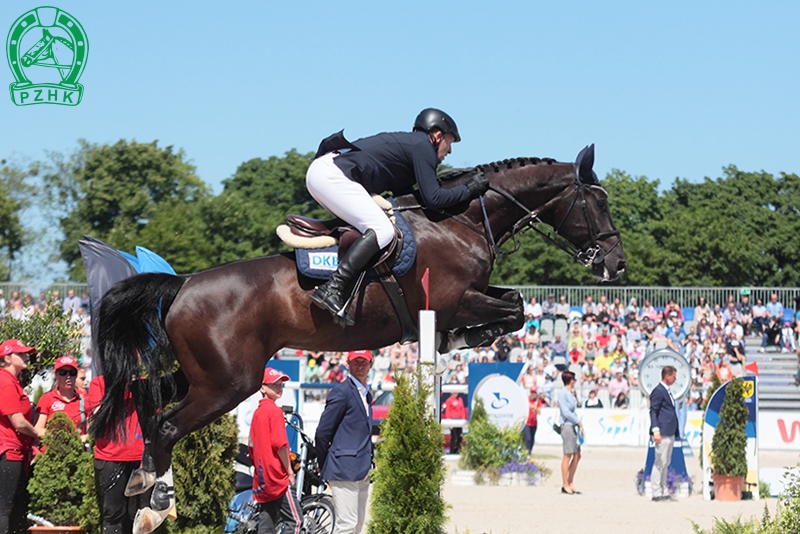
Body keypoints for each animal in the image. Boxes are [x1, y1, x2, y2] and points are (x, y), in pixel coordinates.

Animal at [87, 144, 624, 532]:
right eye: (598, 202)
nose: (615, 265)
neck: (463, 220)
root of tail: (182, 284)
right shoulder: (457, 299)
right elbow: (514, 309)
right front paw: (459, 339)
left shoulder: (471, 296)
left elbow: (514, 303)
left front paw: (457, 341)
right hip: (228, 384)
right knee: (167, 426)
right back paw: (155, 501)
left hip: (204, 375)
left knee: (146, 399)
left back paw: (139, 485)